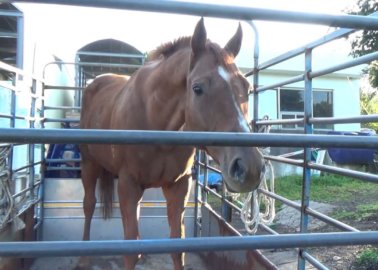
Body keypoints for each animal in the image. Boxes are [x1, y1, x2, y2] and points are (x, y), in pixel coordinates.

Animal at [78, 17, 264, 268]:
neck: (154, 119)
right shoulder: (128, 185)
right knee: (88, 205)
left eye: (247, 87)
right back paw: (83, 257)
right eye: (197, 88)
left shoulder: (178, 186)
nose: (249, 167)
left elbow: (178, 247)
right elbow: (130, 251)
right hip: (89, 164)